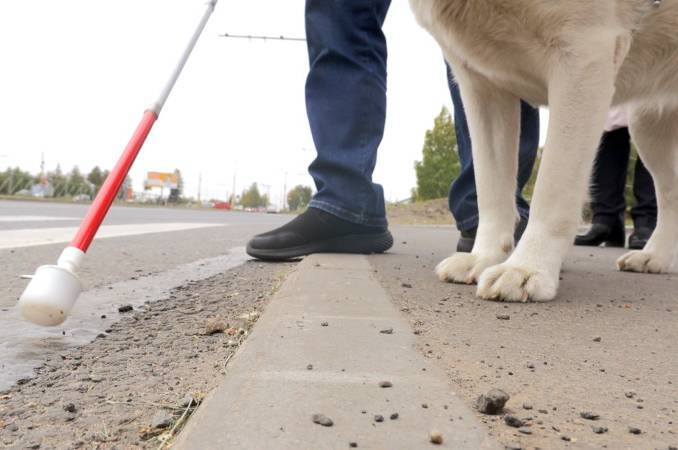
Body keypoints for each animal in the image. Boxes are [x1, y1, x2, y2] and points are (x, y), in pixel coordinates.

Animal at [410, 1, 678, 302]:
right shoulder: (481, 84)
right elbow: (491, 189)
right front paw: (483, 257)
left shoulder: (583, 53)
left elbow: (553, 188)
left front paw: (526, 266)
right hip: (646, 124)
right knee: (670, 192)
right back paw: (655, 256)